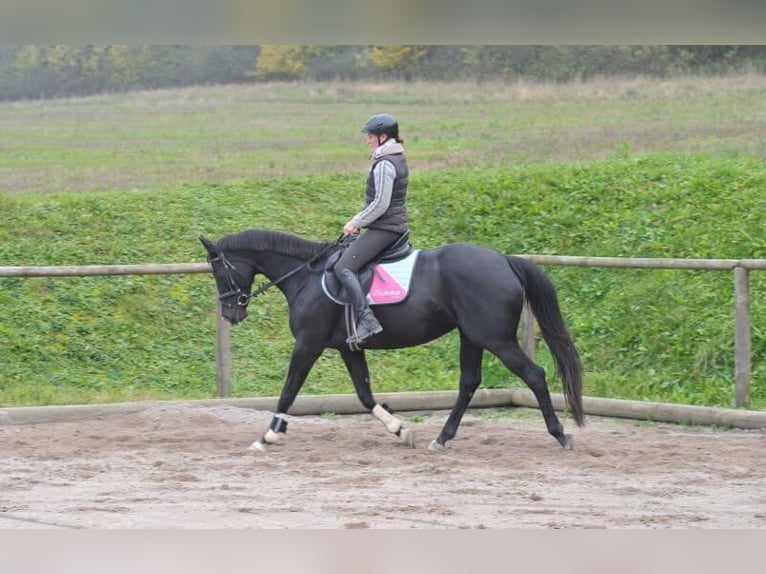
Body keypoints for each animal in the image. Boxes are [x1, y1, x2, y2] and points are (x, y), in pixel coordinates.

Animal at [201, 230, 584, 454]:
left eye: (219, 271)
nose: (231, 313)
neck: (306, 277)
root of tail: (504, 260)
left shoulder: (308, 344)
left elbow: (289, 391)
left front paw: (267, 435)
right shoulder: (347, 347)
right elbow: (364, 394)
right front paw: (399, 429)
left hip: (496, 339)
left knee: (534, 375)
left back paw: (561, 435)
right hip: (472, 336)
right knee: (469, 382)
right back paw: (441, 438)